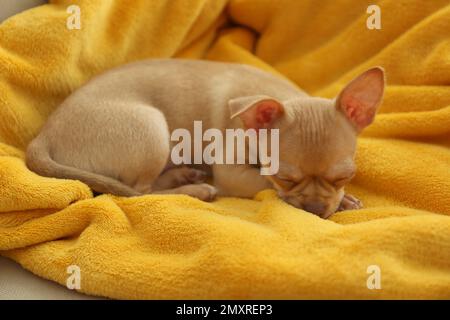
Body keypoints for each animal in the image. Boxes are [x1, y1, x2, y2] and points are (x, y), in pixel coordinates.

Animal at [25, 58, 384, 219]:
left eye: (344, 176)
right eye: (283, 177)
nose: (314, 208)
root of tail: (42, 136)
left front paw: (343, 200)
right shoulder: (232, 172)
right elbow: (264, 185)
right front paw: (341, 202)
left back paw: (185, 175)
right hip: (152, 129)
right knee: (139, 193)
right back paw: (195, 189)